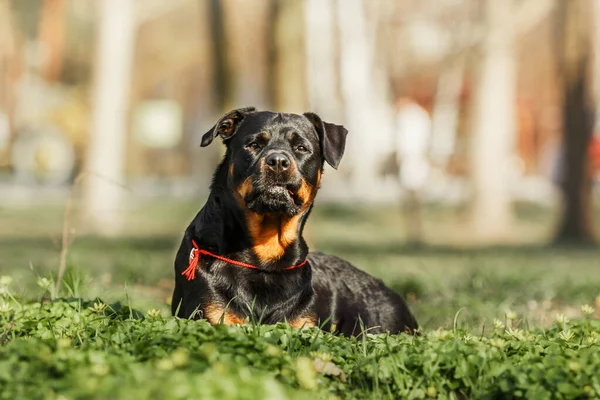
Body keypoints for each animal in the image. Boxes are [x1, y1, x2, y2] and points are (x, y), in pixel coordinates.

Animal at [171, 108, 420, 336]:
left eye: (301, 148)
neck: (266, 256)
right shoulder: (213, 314)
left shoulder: (302, 324)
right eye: (253, 145)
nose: (278, 161)